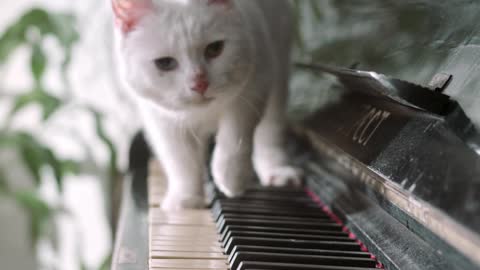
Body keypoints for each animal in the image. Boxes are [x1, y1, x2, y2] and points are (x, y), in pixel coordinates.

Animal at [111, 0, 302, 209]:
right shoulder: (161, 120)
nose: (199, 84)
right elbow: (181, 160)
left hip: (279, 67)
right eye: (165, 63)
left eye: (215, 49)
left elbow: (235, 137)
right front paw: (186, 198)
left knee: (270, 130)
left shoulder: (255, 86)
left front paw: (231, 178)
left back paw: (277, 171)